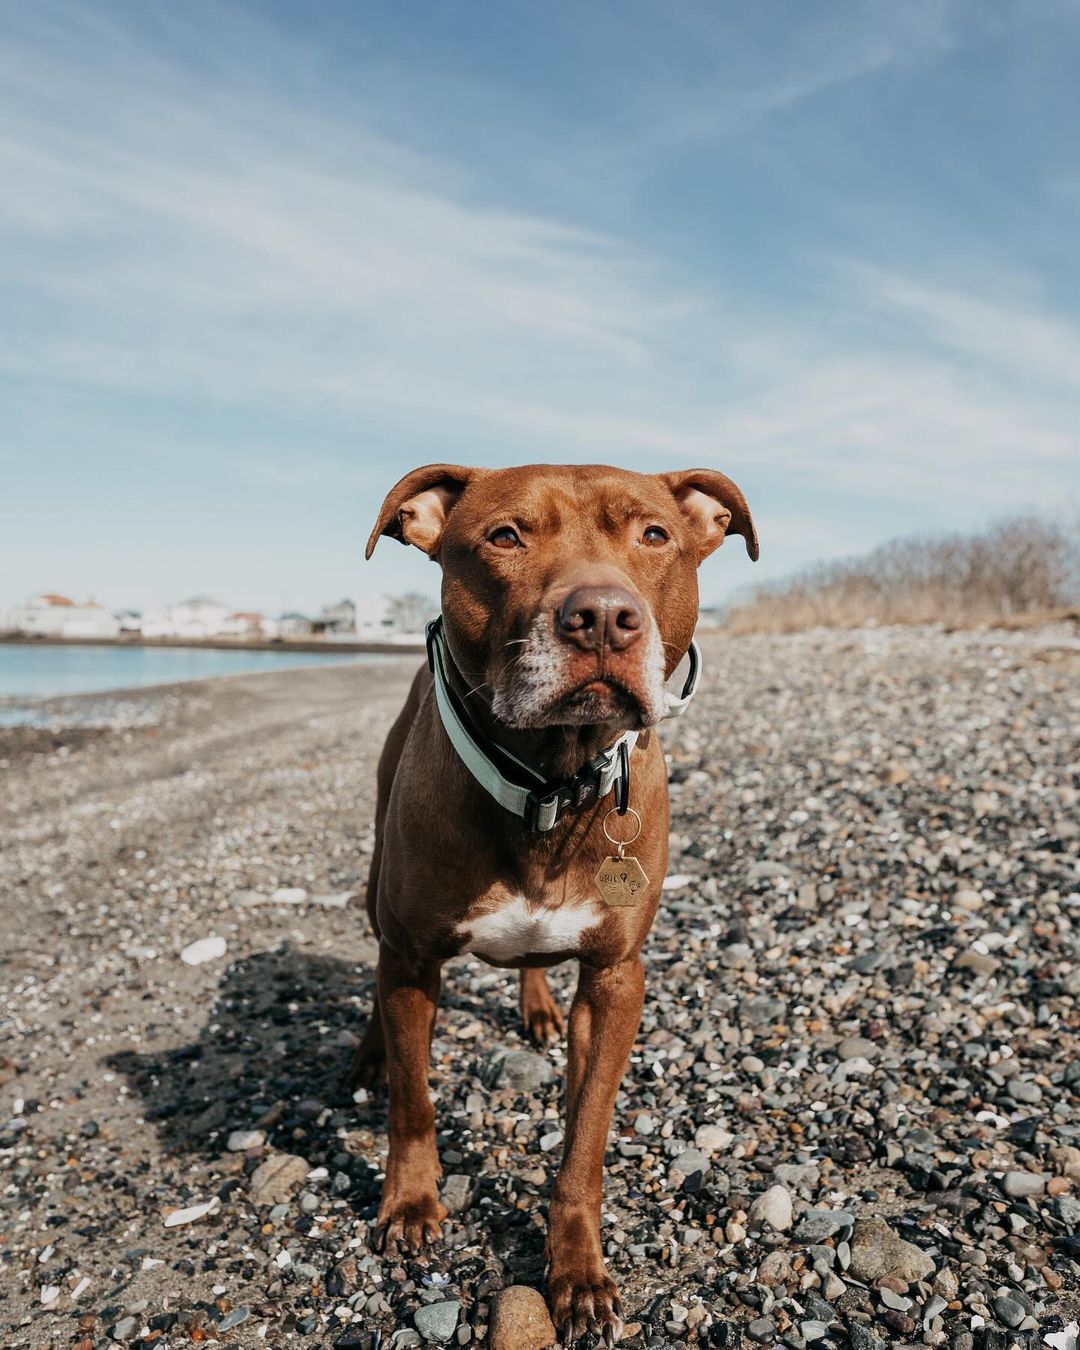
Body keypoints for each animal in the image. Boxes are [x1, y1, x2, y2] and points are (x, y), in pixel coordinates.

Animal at [351, 461, 756, 1339]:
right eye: (505, 536)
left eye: (654, 535)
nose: (602, 616)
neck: (551, 784)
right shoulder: (412, 959)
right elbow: (414, 1103)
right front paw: (410, 1203)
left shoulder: (617, 981)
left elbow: (585, 1141)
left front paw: (576, 1271)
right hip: (376, 896)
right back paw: (370, 1052)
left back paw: (536, 1007)